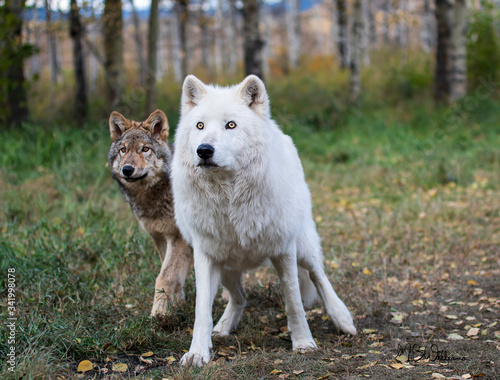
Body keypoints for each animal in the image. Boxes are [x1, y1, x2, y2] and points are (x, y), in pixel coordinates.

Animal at [107, 110, 193, 318]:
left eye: (145, 149)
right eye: (123, 150)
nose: (127, 169)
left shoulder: (177, 238)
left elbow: (165, 276)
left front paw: (159, 314)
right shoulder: (160, 237)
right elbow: (174, 275)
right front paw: (176, 305)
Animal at [172, 74, 356, 366]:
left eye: (231, 125)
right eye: (200, 126)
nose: (204, 150)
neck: (229, 200)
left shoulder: (284, 250)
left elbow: (293, 300)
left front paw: (303, 343)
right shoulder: (205, 255)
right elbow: (202, 310)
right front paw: (197, 353)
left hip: (302, 246)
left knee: (318, 273)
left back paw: (343, 318)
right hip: (226, 268)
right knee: (240, 297)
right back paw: (223, 327)